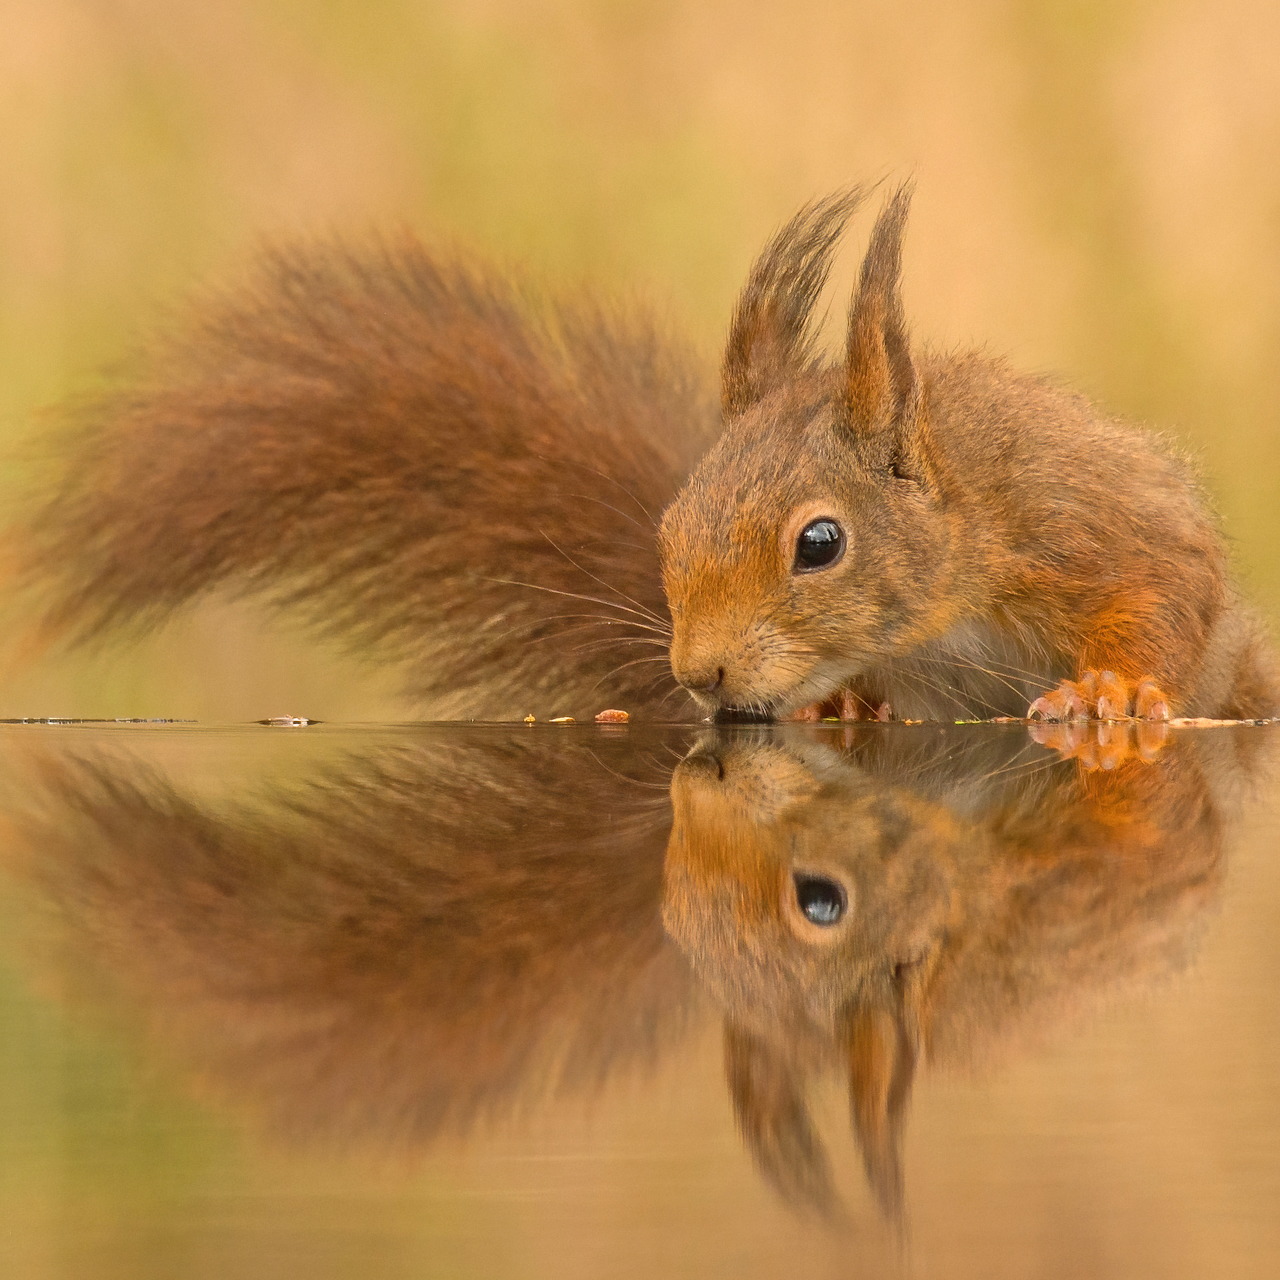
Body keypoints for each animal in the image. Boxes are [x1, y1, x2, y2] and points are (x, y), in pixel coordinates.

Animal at [18, 183, 1279, 722]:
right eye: (666, 531)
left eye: (819, 543)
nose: (698, 676)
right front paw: (839, 705)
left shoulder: (1079, 521)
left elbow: (1162, 586)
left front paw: (1109, 691)